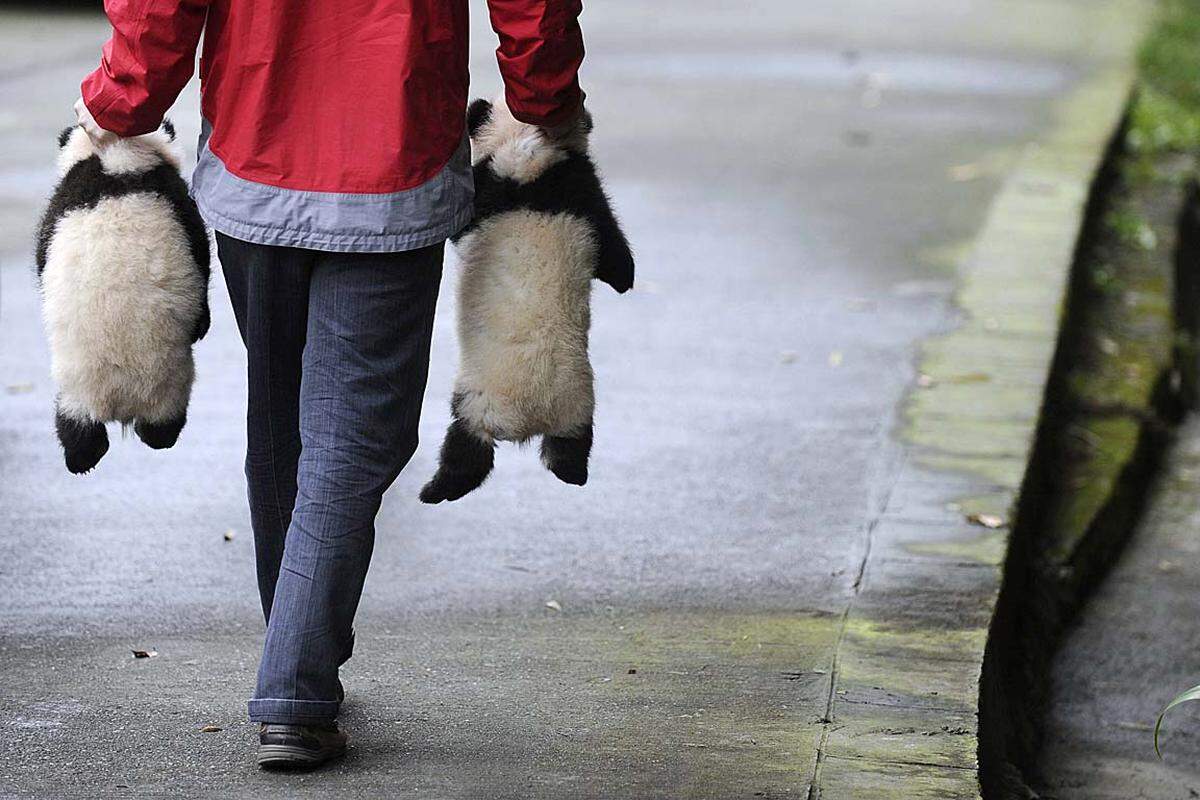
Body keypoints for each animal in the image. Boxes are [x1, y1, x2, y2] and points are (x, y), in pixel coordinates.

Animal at [35, 121, 213, 472]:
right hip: (86, 387)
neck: (116, 162)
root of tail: (119, 402)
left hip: (155, 385)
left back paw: (81, 459)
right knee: (91, 429)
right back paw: (85, 457)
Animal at [420, 97, 633, 503]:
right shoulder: (581, 191)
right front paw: (626, 280)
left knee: (467, 448)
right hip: (578, 403)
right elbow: (614, 253)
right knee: (572, 445)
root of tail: (527, 421)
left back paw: (438, 489)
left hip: (478, 398)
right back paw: (574, 474)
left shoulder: (493, 185)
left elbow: (460, 222)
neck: (533, 148)